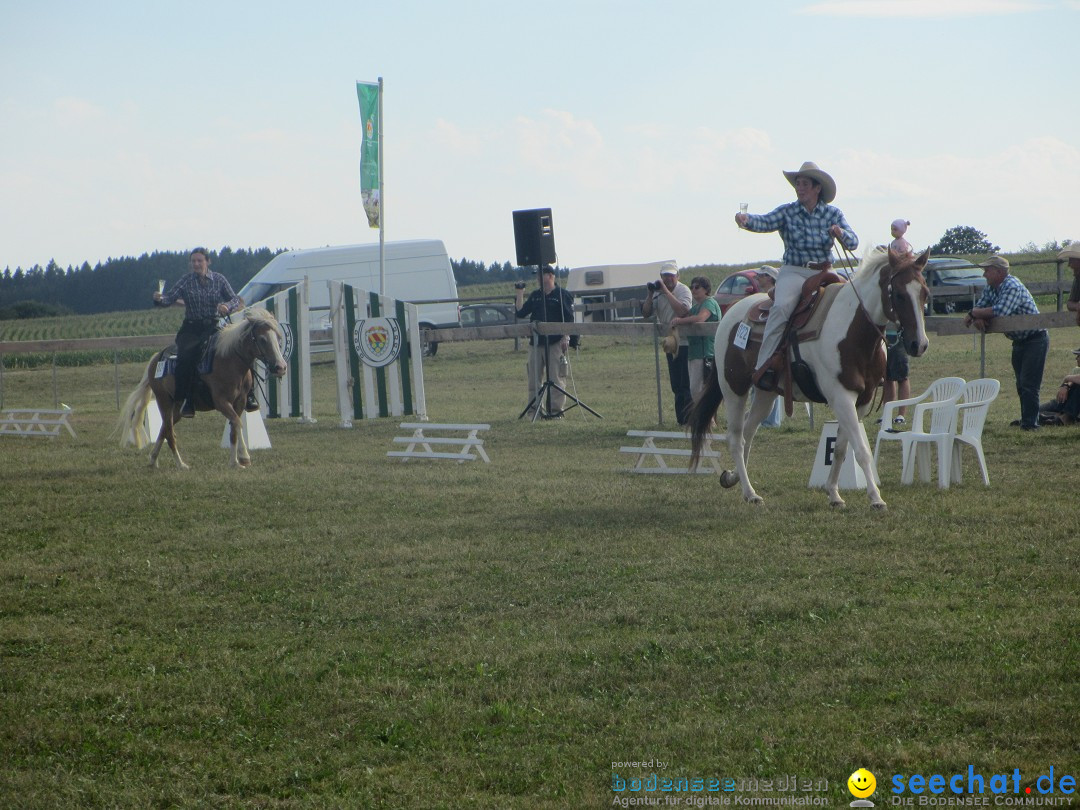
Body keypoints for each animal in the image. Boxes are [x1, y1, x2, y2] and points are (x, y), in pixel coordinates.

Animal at [117, 308, 287, 468]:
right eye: (262, 339)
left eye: (278, 338)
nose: (281, 367)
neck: (229, 361)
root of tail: (156, 358)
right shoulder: (221, 402)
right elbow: (237, 423)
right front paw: (243, 458)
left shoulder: (240, 401)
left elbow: (234, 428)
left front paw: (235, 461)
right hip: (163, 401)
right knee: (169, 433)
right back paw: (181, 464)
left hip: (176, 408)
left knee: (164, 429)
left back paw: (153, 460)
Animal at [691, 247, 928, 509]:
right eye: (899, 295)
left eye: (925, 293)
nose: (919, 344)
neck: (853, 330)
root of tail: (730, 314)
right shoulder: (841, 397)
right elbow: (861, 449)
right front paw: (876, 498)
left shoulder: (862, 400)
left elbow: (841, 449)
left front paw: (834, 494)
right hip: (734, 389)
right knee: (736, 438)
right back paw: (750, 493)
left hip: (765, 394)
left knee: (748, 432)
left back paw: (732, 477)